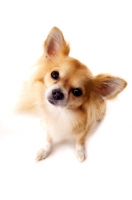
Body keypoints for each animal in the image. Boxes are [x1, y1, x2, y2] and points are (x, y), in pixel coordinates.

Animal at [16, 26, 127, 162]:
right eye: (54, 74)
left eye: (77, 92)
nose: (57, 93)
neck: (60, 113)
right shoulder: (49, 127)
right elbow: (48, 139)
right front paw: (45, 150)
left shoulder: (85, 129)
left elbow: (80, 141)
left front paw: (80, 152)